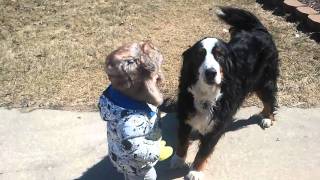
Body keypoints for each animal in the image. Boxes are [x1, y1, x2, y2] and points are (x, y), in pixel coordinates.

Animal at [171, 6, 278, 179]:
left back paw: (267, 118)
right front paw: (178, 159)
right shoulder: (185, 112)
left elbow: (203, 151)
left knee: (270, 99)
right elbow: (182, 140)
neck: (207, 94)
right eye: (200, 55)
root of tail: (259, 30)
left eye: (219, 56)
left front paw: (195, 171)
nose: (210, 72)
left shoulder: (217, 124)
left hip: (264, 81)